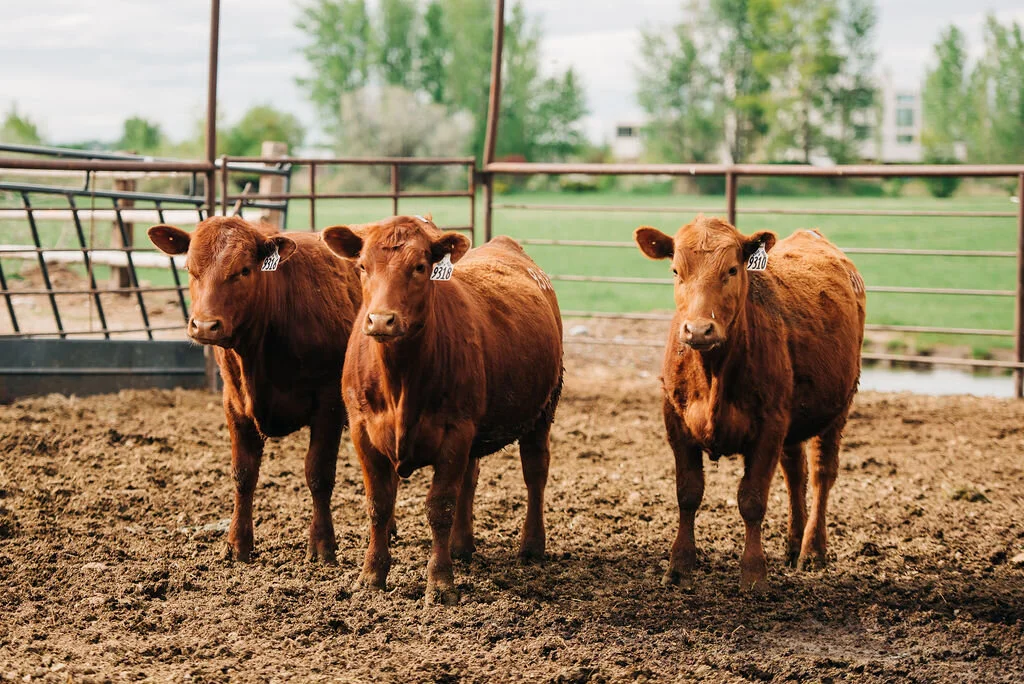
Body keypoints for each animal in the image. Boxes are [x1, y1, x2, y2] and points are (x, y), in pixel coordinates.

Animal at [147, 216, 361, 564]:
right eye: (191, 268)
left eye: (244, 270)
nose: (204, 326)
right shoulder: (235, 403)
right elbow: (244, 473)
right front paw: (238, 543)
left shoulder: (328, 404)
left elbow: (319, 474)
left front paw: (321, 545)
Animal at [321, 215, 563, 605]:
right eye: (362, 267)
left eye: (420, 267)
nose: (381, 320)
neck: (400, 380)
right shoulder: (362, 431)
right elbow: (379, 504)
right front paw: (371, 575)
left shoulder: (455, 431)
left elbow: (440, 507)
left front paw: (440, 582)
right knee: (471, 476)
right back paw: (462, 546)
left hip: (543, 409)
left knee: (535, 472)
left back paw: (531, 546)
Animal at [634, 215, 866, 591]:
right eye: (675, 270)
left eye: (731, 269)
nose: (698, 330)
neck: (713, 373)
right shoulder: (677, 424)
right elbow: (688, 493)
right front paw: (679, 565)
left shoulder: (769, 426)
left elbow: (752, 499)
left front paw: (754, 573)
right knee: (795, 472)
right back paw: (793, 544)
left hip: (838, 408)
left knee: (821, 475)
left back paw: (812, 550)